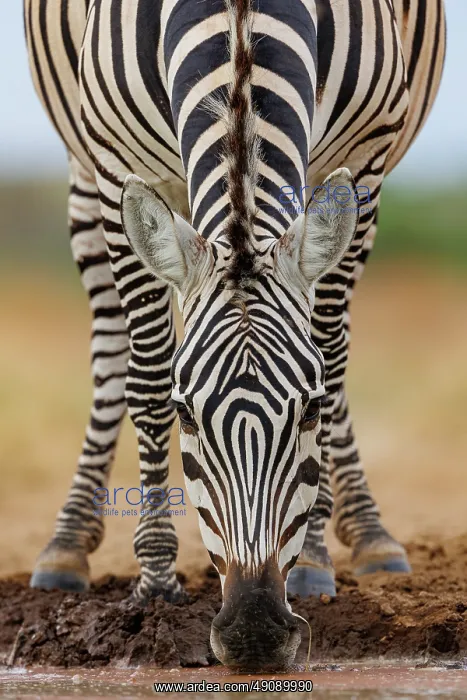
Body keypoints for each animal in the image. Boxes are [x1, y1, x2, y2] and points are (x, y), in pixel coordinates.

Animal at [24, 0, 445, 670]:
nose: (255, 633)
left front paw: (316, 563)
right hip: (83, 171)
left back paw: (371, 534)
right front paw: (156, 582)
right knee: (111, 351)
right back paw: (66, 545)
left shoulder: (365, 156)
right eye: (185, 415)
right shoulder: (118, 161)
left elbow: (329, 355)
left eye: (309, 411)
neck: (241, 25)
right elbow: (146, 376)